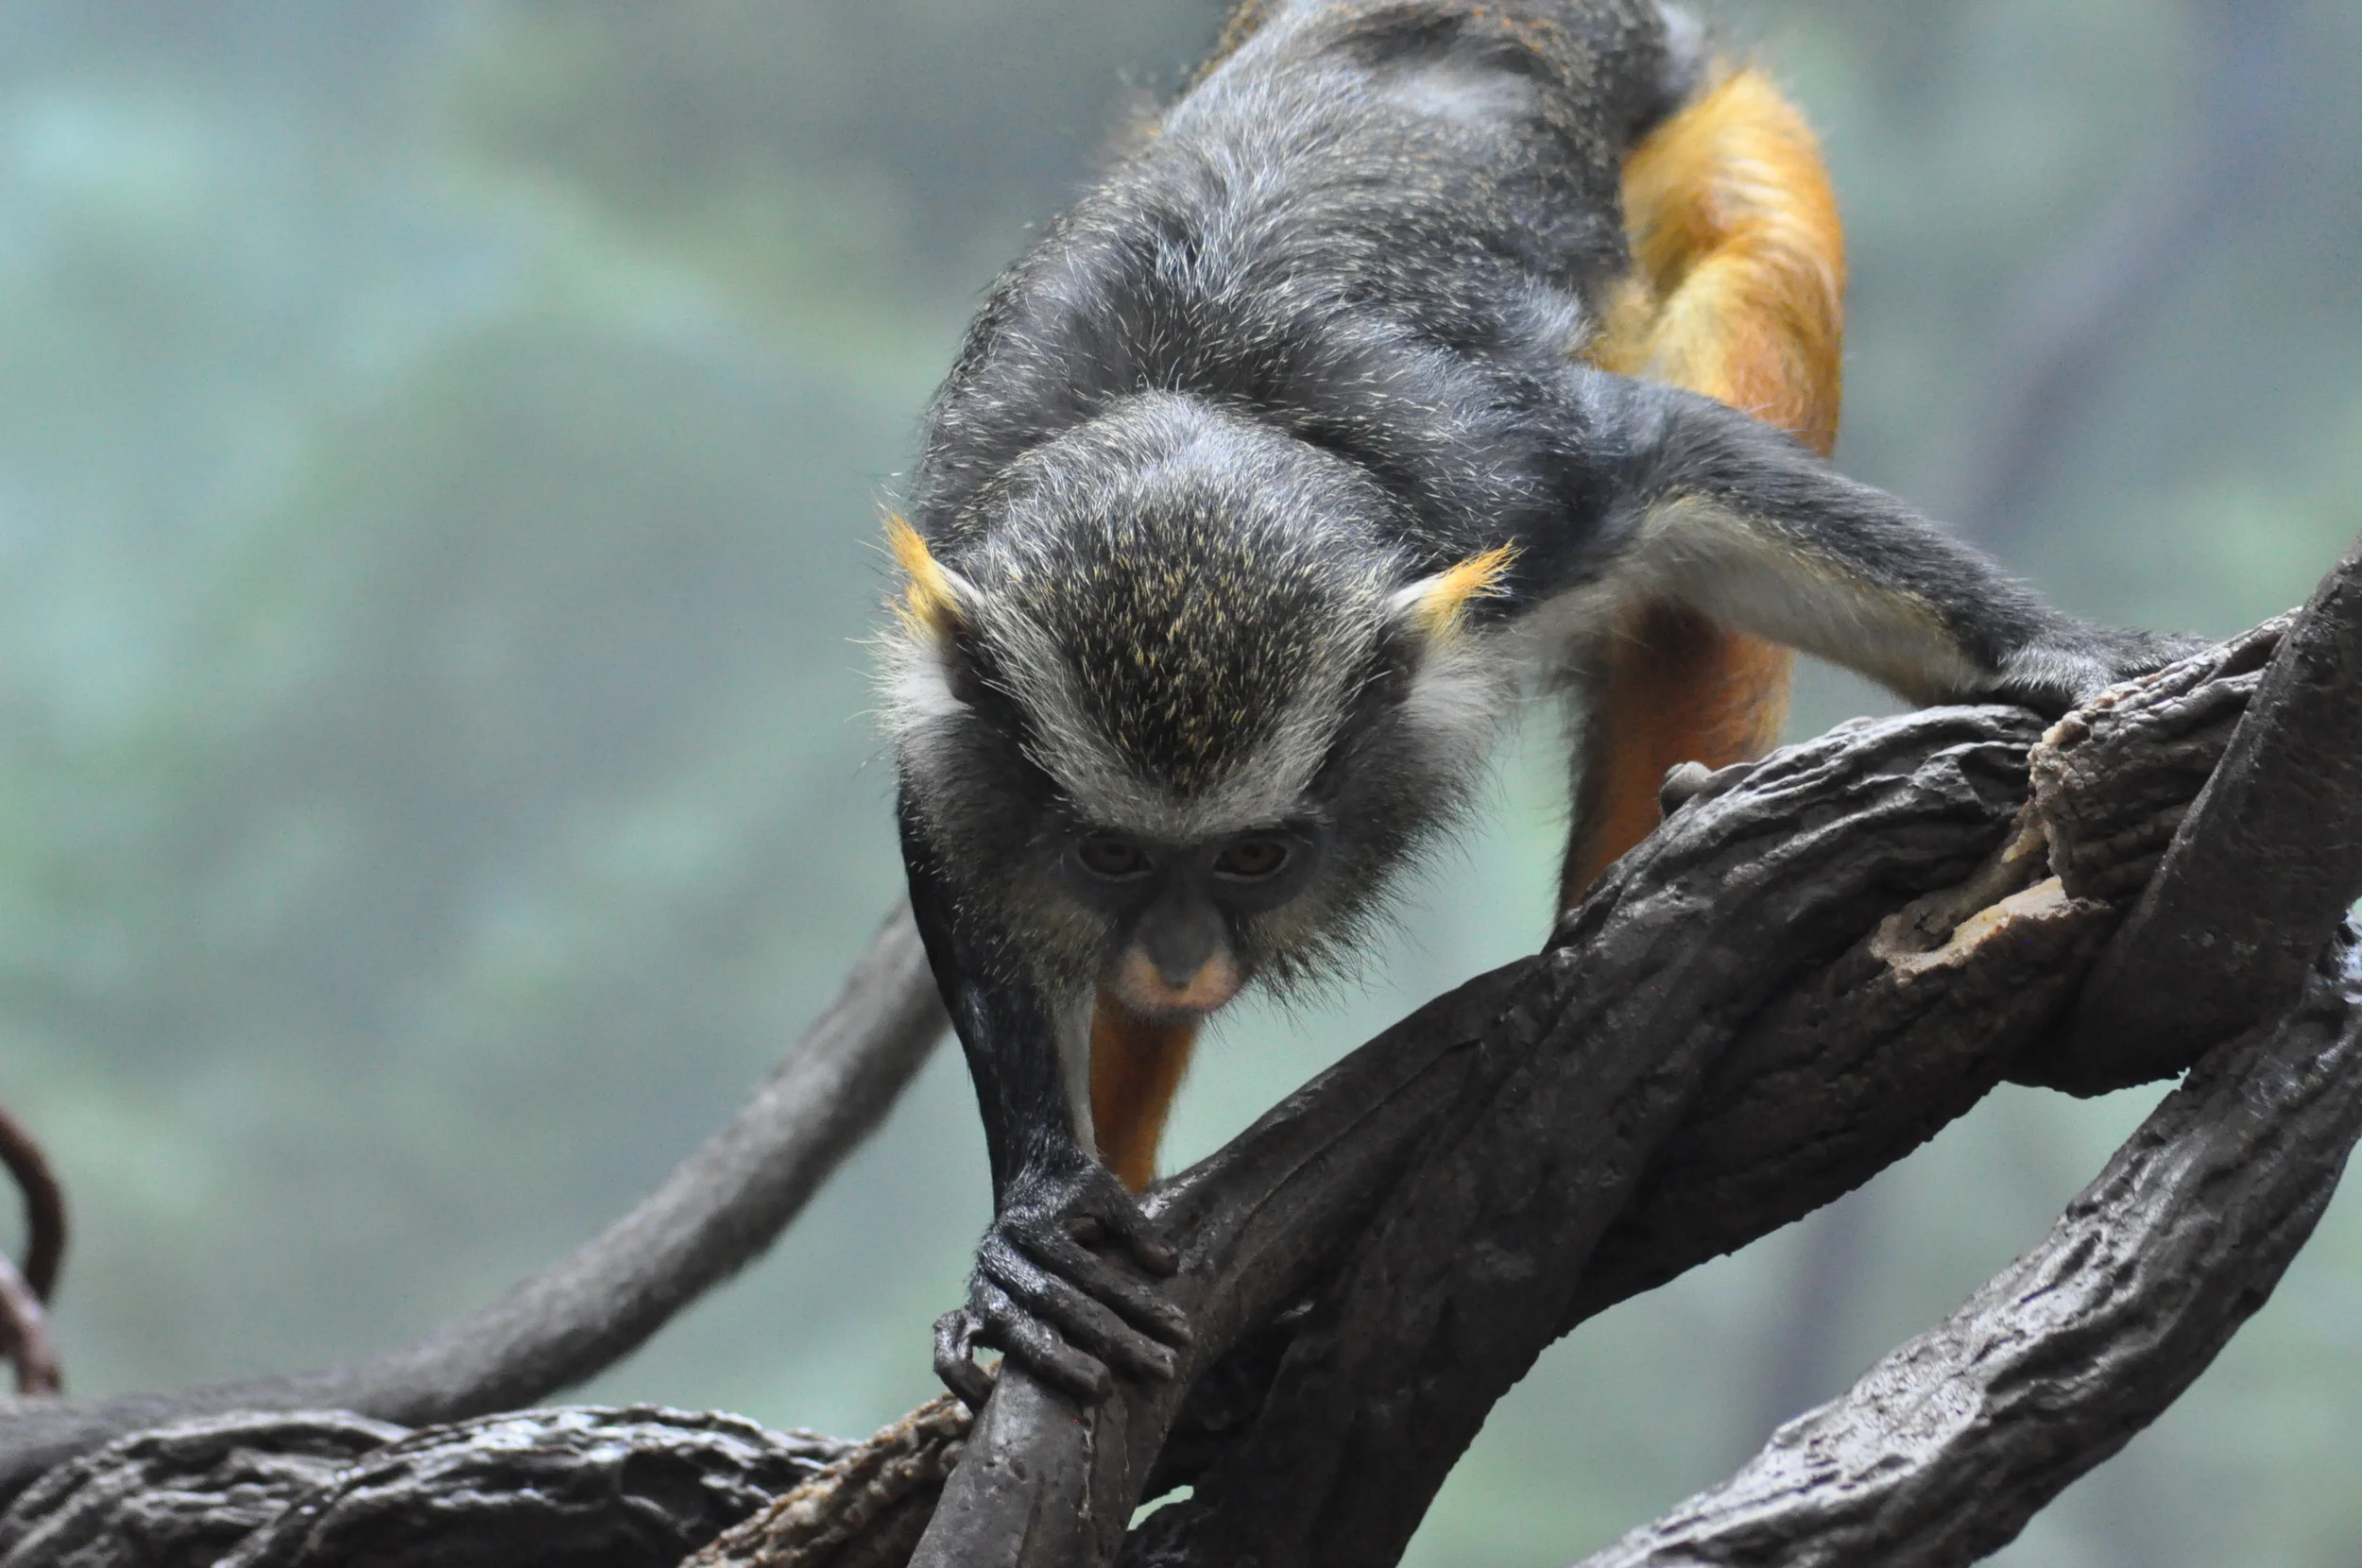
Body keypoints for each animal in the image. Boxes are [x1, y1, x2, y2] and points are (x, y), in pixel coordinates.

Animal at [879, 0, 2195, 1408]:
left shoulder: (1521, 492)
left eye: (1255, 857)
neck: (1209, 389)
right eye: (1115, 856)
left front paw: (2062, 650)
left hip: (1724, 133)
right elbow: (949, 830)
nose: (1176, 954)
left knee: (1751, 314)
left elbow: (1682, 456)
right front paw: (1042, 1209)